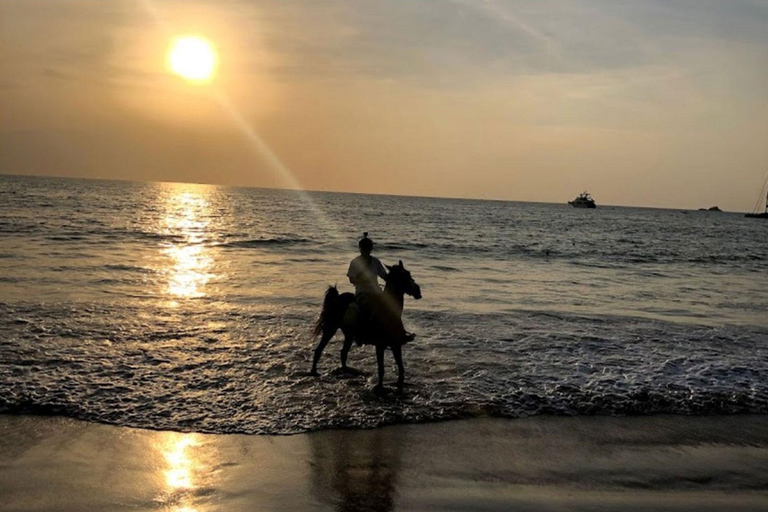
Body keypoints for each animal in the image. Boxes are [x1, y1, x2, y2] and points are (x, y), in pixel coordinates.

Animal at [308, 262, 424, 390]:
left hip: (348, 334)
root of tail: (336, 298)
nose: (418, 291)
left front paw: (400, 384)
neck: (389, 313)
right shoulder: (380, 345)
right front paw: (379, 387)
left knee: (343, 352)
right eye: (404, 276)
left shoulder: (396, 345)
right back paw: (314, 372)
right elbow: (381, 368)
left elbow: (401, 367)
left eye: (409, 274)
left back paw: (346, 370)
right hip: (331, 328)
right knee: (319, 350)